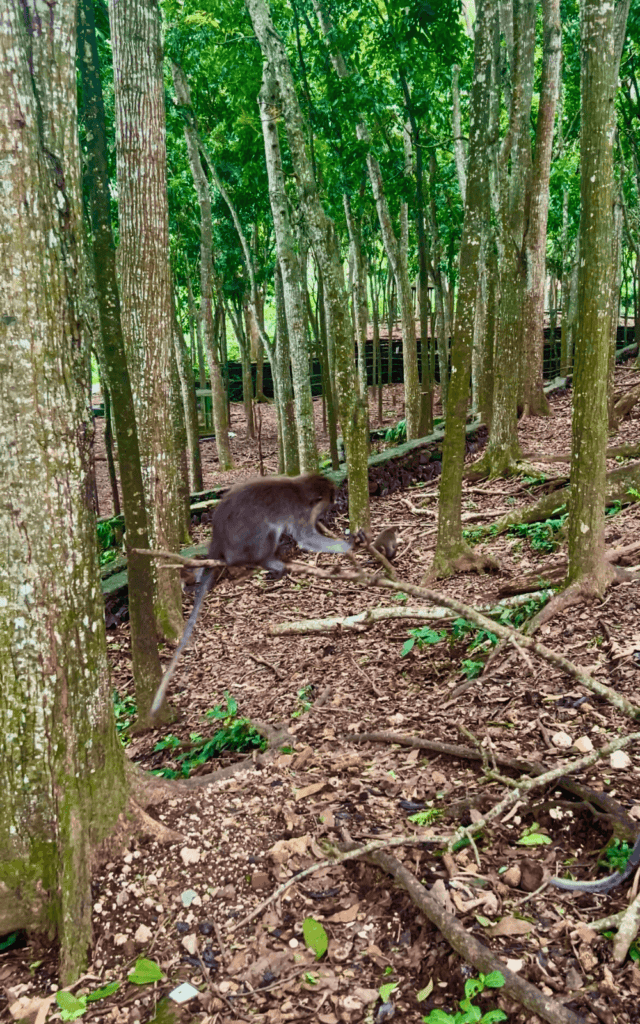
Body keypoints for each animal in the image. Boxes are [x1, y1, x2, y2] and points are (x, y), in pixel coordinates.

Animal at [150, 475, 350, 716]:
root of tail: (218, 541)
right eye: (330, 499)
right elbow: (307, 538)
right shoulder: (299, 512)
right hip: (243, 544)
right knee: (265, 530)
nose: (335, 506)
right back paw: (268, 561)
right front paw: (350, 544)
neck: (302, 492)